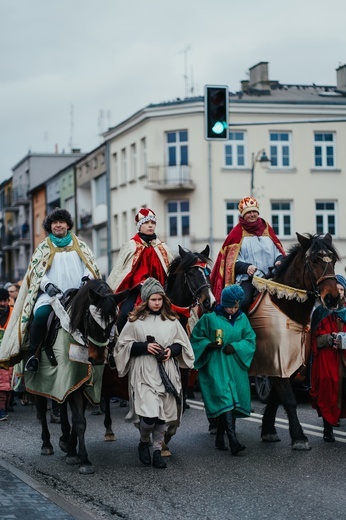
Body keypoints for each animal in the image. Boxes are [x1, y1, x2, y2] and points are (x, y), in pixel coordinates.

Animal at [24, 280, 127, 476]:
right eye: (91, 320)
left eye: (113, 322)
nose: (97, 359)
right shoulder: (72, 379)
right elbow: (80, 422)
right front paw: (84, 459)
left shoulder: (81, 382)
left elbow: (78, 418)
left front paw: (72, 451)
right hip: (38, 380)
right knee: (41, 409)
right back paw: (46, 444)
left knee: (62, 406)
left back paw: (64, 439)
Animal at [100, 246, 215, 440]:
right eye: (191, 273)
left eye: (207, 271)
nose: (210, 302)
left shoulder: (182, 371)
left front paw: (166, 437)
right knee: (106, 391)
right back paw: (108, 427)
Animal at [249, 234, 340, 448]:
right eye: (314, 260)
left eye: (332, 260)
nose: (332, 298)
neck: (286, 307)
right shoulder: (275, 359)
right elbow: (289, 399)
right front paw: (299, 437)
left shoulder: (288, 365)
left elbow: (277, 397)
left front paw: (268, 430)